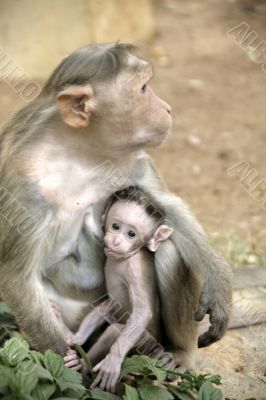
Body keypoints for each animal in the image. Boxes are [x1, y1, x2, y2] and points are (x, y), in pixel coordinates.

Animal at [0, 43, 233, 366]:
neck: (80, 153)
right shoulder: (24, 181)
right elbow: (17, 276)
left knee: (169, 250)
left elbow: (165, 207)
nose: (167, 108)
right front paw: (71, 368)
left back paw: (179, 352)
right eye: (144, 89)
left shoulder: (129, 159)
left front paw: (218, 282)